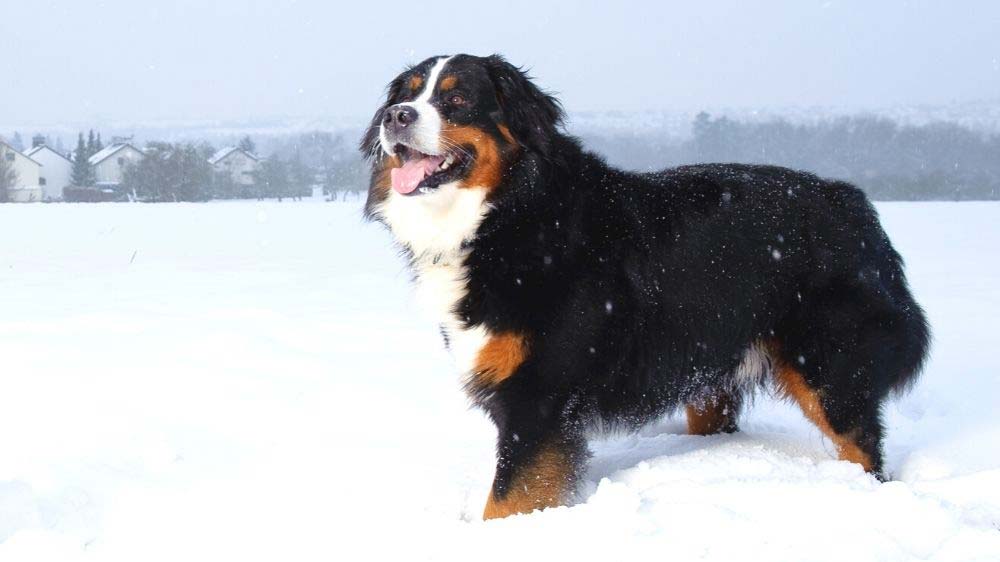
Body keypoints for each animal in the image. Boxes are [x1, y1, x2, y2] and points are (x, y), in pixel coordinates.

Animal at [360, 54, 928, 520]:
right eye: (405, 94)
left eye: (457, 99)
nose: (396, 117)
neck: (509, 215)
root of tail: (854, 203)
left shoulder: (539, 395)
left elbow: (507, 499)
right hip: (710, 371)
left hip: (829, 366)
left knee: (862, 446)